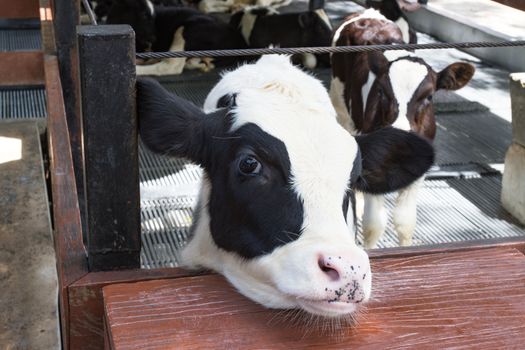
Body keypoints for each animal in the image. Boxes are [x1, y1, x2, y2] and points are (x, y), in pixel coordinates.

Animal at [332, 8, 474, 249]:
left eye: (429, 96)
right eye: (381, 92)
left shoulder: (420, 169)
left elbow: (405, 222)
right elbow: (374, 225)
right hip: (340, 105)